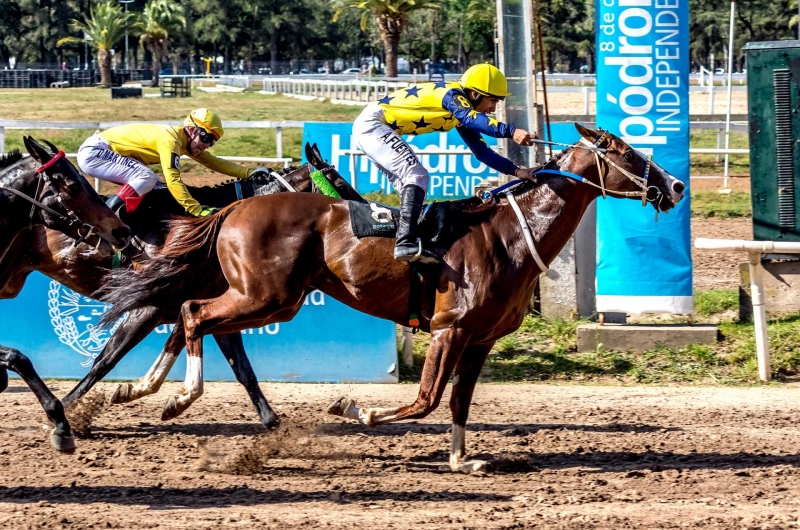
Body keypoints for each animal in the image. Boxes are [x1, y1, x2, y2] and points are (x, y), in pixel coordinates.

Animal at [0, 145, 362, 428]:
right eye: (339, 182)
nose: (369, 215)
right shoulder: (147, 307)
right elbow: (105, 361)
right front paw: (66, 412)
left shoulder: (215, 304)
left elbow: (242, 368)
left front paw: (270, 420)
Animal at [101, 126, 688, 468]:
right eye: (626, 150)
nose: (676, 186)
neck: (509, 236)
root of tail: (232, 210)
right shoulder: (451, 328)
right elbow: (425, 398)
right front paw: (351, 407)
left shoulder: (480, 340)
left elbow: (457, 401)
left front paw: (461, 461)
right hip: (265, 295)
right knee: (193, 313)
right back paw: (176, 396)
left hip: (273, 299)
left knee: (192, 317)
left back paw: (140, 388)